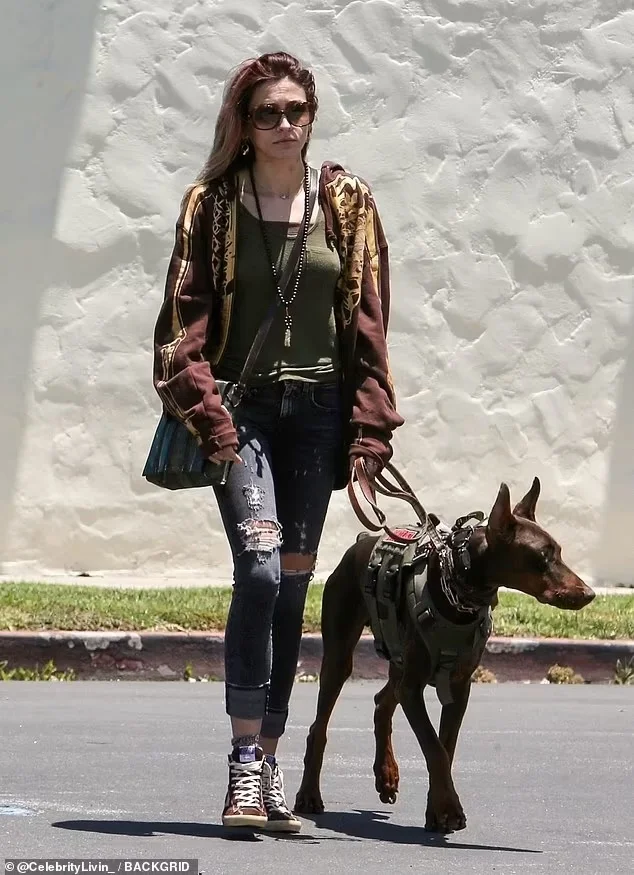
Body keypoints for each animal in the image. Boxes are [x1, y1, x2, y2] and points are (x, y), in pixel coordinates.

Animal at [294, 480, 596, 836]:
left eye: (559, 551)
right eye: (543, 556)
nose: (589, 593)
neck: (460, 591)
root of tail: (360, 541)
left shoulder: (459, 686)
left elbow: (444, 749)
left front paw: (437, 809)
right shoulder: (414, 688)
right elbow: (433, 748)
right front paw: (449, 809)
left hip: (399, 652)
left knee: (383, 701)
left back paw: (386, 775)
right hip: (342, 649)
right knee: (321, 724)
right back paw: (309, 794)